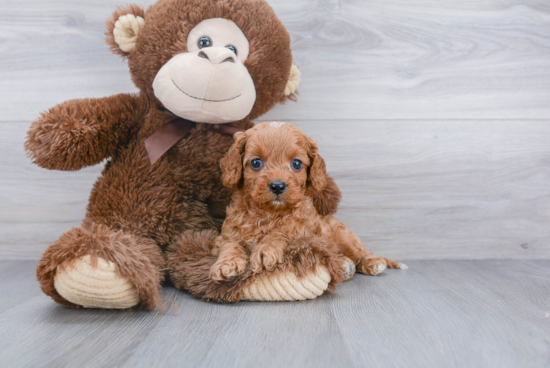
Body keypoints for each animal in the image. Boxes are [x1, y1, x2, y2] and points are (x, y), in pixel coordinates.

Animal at [209, 123, 408, 282]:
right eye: (256, 162)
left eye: (296, 164)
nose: (277, 186)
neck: (268, 212)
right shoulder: (226, 235)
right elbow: (230, 244)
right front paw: (227, 264)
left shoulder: (302, 233)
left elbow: (281, 234)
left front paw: (266, 249)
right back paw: (345, 265)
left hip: (345, 237)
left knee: (362, 253)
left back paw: (373, 262)